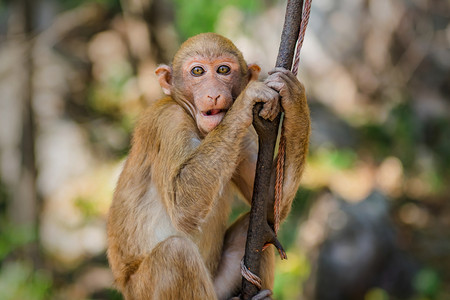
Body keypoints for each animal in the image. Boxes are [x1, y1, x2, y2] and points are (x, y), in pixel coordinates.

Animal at [108, 32, 310, 300]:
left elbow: (268, 205)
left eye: (223, 69)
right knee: (176, 254)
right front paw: (248, 98)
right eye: (197, 71)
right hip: (142, 292)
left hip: (219, 286)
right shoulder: (168, 121)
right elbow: (182, 206)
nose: (213, 93)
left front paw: (294, 97)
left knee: (255, 229)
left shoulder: (244, 139)